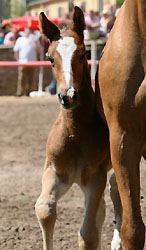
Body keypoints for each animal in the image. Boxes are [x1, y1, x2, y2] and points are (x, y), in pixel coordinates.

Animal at [35, 6, 110, 250]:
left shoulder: (95, 177)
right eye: (50, 58)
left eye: (83, 54)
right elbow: (44, 209)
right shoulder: (55, 172)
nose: (68, 96)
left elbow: (89, 234)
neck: (75, 133)